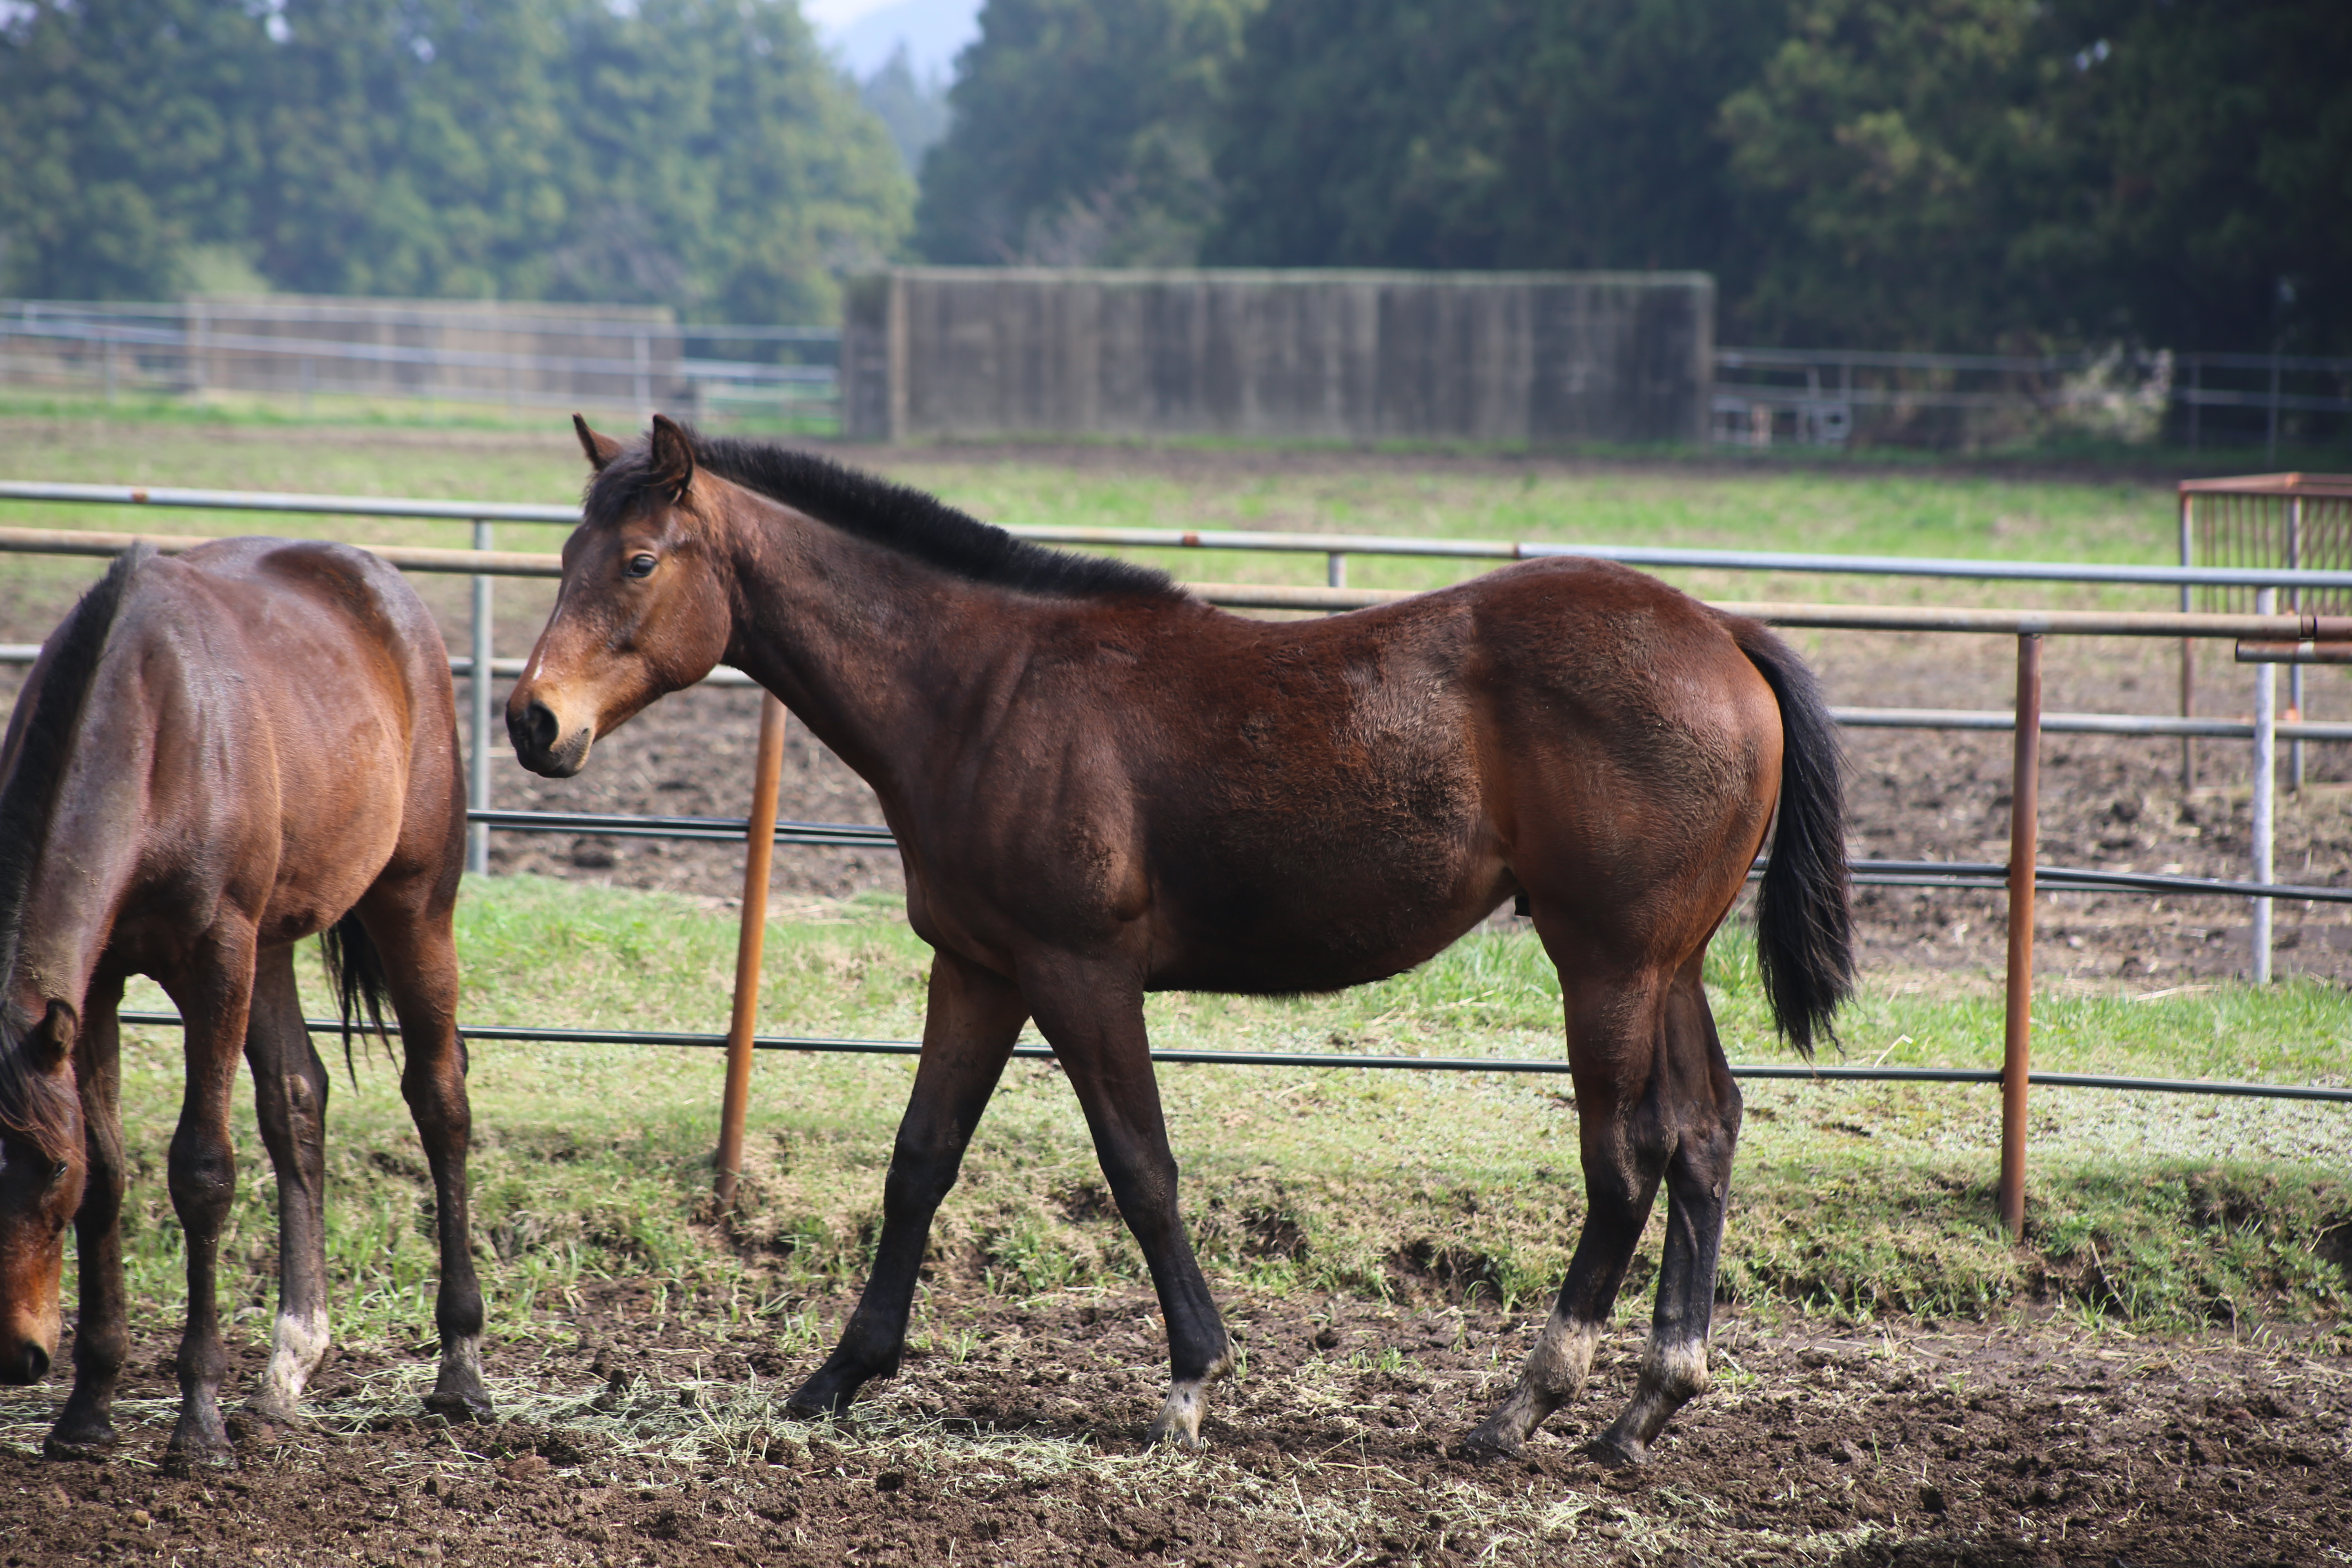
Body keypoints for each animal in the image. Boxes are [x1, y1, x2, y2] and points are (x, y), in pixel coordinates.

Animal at [0, 543, 491, 1476]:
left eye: (46, 1167)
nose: (15, 1354)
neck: (148, 728)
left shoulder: (215, 961)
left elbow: (201, 1172)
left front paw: (198, 1421)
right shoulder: (100, 987)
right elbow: (112, 1177)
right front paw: (88, 1409)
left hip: (414, 904)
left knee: (441, 1098)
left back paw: (461, 1370)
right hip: (275, 942)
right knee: (298, 1098)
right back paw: (289, 1365)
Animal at [519, 421, 1853, 1476]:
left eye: (638, 561)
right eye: (568, 558)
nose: (534, 719)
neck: (982, 690)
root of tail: (1722, 632)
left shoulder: (1079, 972)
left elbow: (1140, 1166)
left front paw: (1191, 1382)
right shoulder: (980, 968)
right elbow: (919, 1160)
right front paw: (838, 1374)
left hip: (1605, 966)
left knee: (1623, 1162)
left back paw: (1523, 1403)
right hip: (1664, 966)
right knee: (1704, 1133)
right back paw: (1644, 1407)